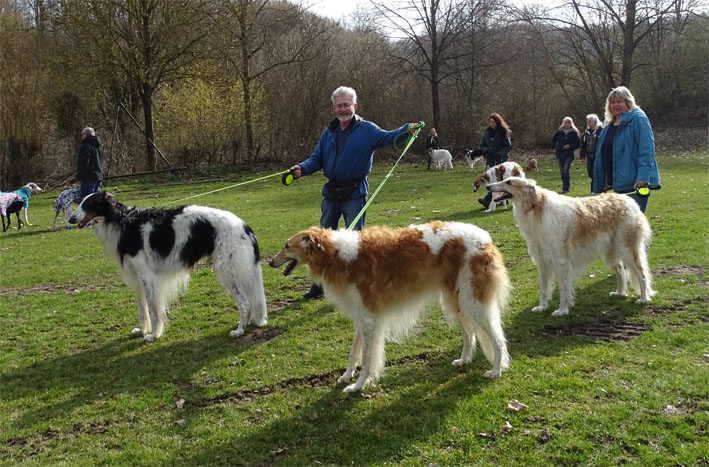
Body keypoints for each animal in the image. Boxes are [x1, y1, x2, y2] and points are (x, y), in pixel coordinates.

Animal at [68, 191, 268, 341]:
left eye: (89, 203)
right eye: (81, 202)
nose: (70, 219)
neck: (123, 222)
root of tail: (245, 227)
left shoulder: (148, 278)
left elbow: (154, 311)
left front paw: (154, 335)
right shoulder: (137, 279)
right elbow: (142, 311)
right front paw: (142, 331)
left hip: (227, 272)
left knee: (244, 302)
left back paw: (239, 330)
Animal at [269, 221, 510, 392]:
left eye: (286, 245)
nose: (271, 262)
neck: (337, 253)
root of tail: (485, 239)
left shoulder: (369, 319)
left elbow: (368, 359)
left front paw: (358, 386)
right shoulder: (363, 316)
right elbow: (354, 352)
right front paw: (346, 376)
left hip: (473, 302)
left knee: (497, 340)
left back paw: (496, 370)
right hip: (456, 301)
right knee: (470, 334)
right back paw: (463, 360)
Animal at [486, 177, 656, 317]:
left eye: (509, 182)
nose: (488, 186)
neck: (536, 207)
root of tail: (630, 201)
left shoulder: (561, 262)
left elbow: (563, 289)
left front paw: (562, 310)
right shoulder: (542, 263)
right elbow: (543, 290)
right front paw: (542, 307)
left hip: (627, 250)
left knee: (642, 275)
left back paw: (643, 299)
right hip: (610, 252)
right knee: (621, 271)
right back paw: (619, 293)